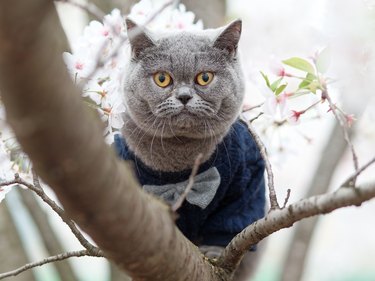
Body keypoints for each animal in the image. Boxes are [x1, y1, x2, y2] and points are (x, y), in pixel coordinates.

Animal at [115, 18, 268, 278]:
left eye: (204, 77)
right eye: (162, 78)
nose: (184, 96)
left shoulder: (248, 177)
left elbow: (228, 223)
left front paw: (214, 253)